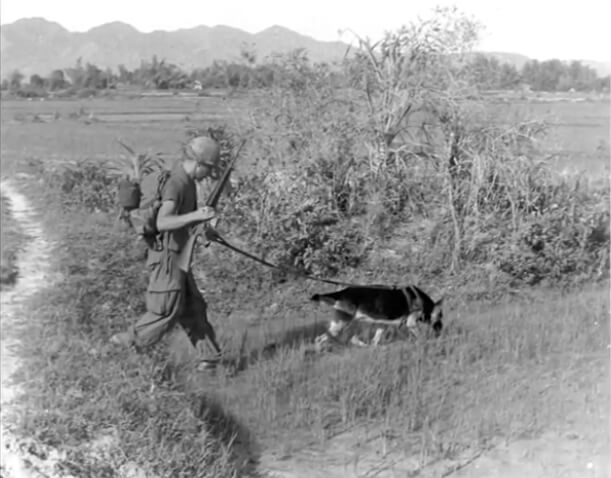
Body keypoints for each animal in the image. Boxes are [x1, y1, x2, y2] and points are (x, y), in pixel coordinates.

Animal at [310, 284, 444, 348]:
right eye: (441, 317)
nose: (441, 333)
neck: (423, 302)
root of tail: (342, 292)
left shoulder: (382, 324)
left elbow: (376, 339)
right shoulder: (411, 324)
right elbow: (421, 337)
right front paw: (426, 343)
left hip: (350, 324)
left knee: (353, 339)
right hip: (340, 325)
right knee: (319, 339)